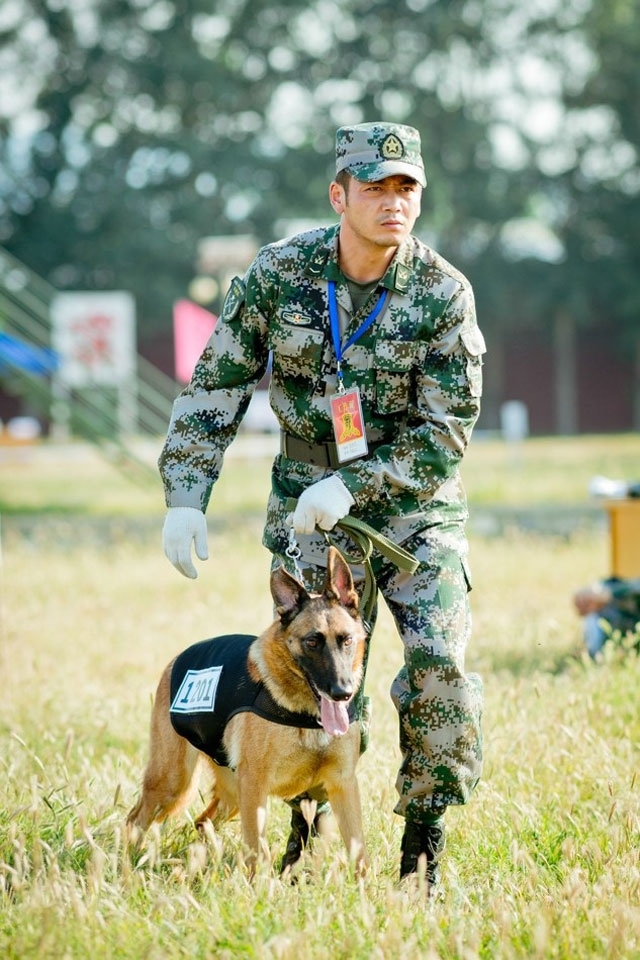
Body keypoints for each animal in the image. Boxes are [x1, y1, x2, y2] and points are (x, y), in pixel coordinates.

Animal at [127, 544, 368, 872]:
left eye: (347, 640)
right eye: (312, 642)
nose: (342, 693)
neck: (306, 715)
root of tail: (176, 658)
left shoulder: (343, 785)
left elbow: (359, 853)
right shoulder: (255, 785)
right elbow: (257, 851)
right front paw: (259, 885)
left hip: (230, 793)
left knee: (203, 821)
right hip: (172, 783)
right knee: (136, 819)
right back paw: (128, 861)